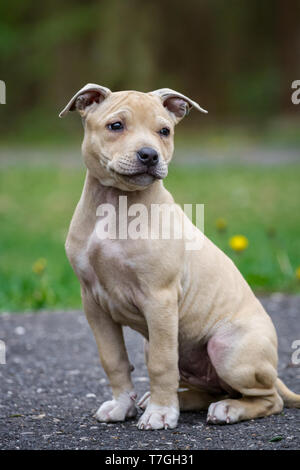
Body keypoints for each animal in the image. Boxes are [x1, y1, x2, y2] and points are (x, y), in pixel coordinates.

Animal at [59, 84, 300, 430]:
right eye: (115, 126)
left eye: (165, 131)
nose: (149, 155)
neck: (116, 203)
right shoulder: (94, 303)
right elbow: (113, 359)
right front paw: (122, 406)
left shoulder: (159, 299)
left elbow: (162, 364)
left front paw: (160, 413)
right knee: (207, 388)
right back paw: (177, 401)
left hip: (227, 349)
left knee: (269, 399)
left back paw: (227, 409)